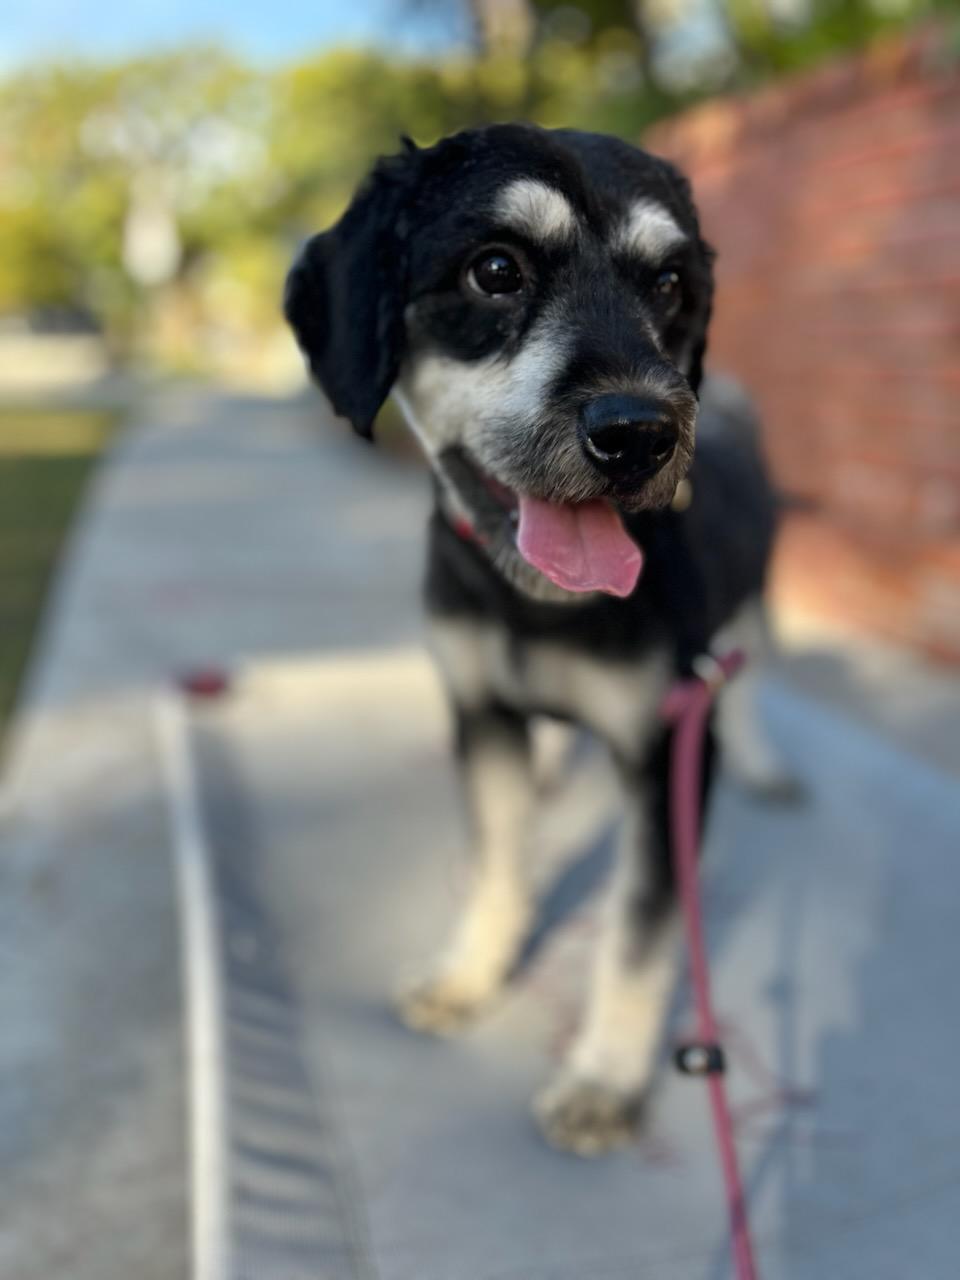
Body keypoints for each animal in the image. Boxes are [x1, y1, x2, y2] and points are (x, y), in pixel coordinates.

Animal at [281, 124, 793, 1157]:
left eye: (671, 283)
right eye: (495, 269)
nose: (639, 433)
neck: (535, 607)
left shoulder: (666, 747)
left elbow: (638, 932)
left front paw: (604, 1079)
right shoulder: (480, 712)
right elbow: (497, 860)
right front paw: (469, 975)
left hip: (755, 600)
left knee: (757, 673)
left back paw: (766, 759)